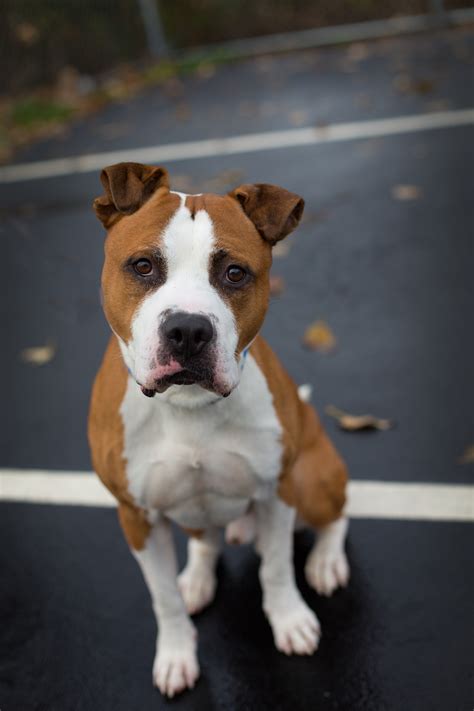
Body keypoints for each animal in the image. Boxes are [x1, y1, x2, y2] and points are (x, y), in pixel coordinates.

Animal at [89, 163, 348, 700]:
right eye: (143, 266)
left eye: (234, 273)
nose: (188, 330)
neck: (188, 404)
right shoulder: (136, 516)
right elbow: (162, 597)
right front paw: (175, 654)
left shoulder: (277, 491)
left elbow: (276, 569)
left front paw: (290, 620)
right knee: (205, 538)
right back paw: (198, 578)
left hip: (312, 476)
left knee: (336, 515)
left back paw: (326, 561)